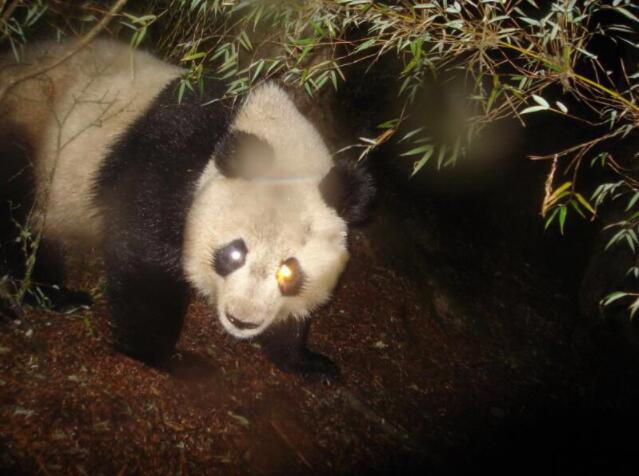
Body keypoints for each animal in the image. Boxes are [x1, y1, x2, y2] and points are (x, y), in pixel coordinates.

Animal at [0, 39, 375, 379]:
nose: (242, 319)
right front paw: (166, 359)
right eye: (234, 253)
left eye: (289, 272)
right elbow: (144, 253)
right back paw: (49, 296)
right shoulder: (172, 157)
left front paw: (307, 361)